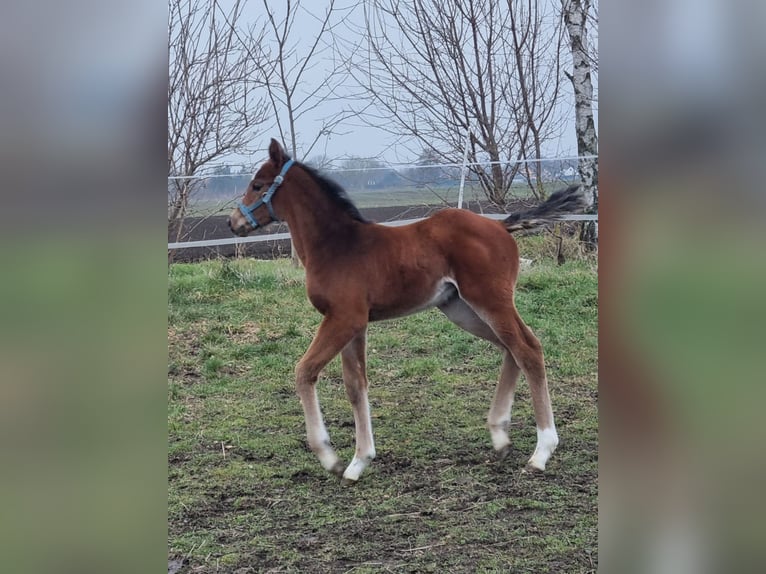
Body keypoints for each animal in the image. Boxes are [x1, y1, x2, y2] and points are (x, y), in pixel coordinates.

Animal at [230, 142, 588, 484]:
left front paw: (330, 458)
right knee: (510, 349)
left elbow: (305, 371)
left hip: (490, 301)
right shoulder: (355, 324)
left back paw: (541, 452)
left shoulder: (343, 319)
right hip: (460, 308)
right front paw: (359, 462)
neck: (337, 246)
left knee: (528, 349)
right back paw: (500, 437)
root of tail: (500, 225)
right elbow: (355, 385)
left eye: (258, 185)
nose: (233, 222)